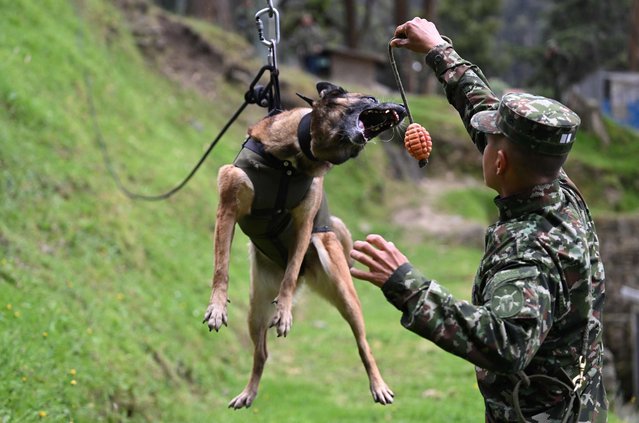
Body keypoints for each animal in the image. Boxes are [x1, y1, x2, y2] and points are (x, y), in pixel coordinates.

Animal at [202, 81, 408, 410]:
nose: (401, 108)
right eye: (370, 98)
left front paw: (285, 312)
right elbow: (221, 267)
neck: (293, 159)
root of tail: (308, 277)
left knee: (363, 344)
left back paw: (378, 385)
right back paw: (249, 392)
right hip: (256, 310)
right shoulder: (228, 207)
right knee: (261, 353)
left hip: (344, 291)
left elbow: (288, 276)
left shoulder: (304, 225)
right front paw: (217, 307)